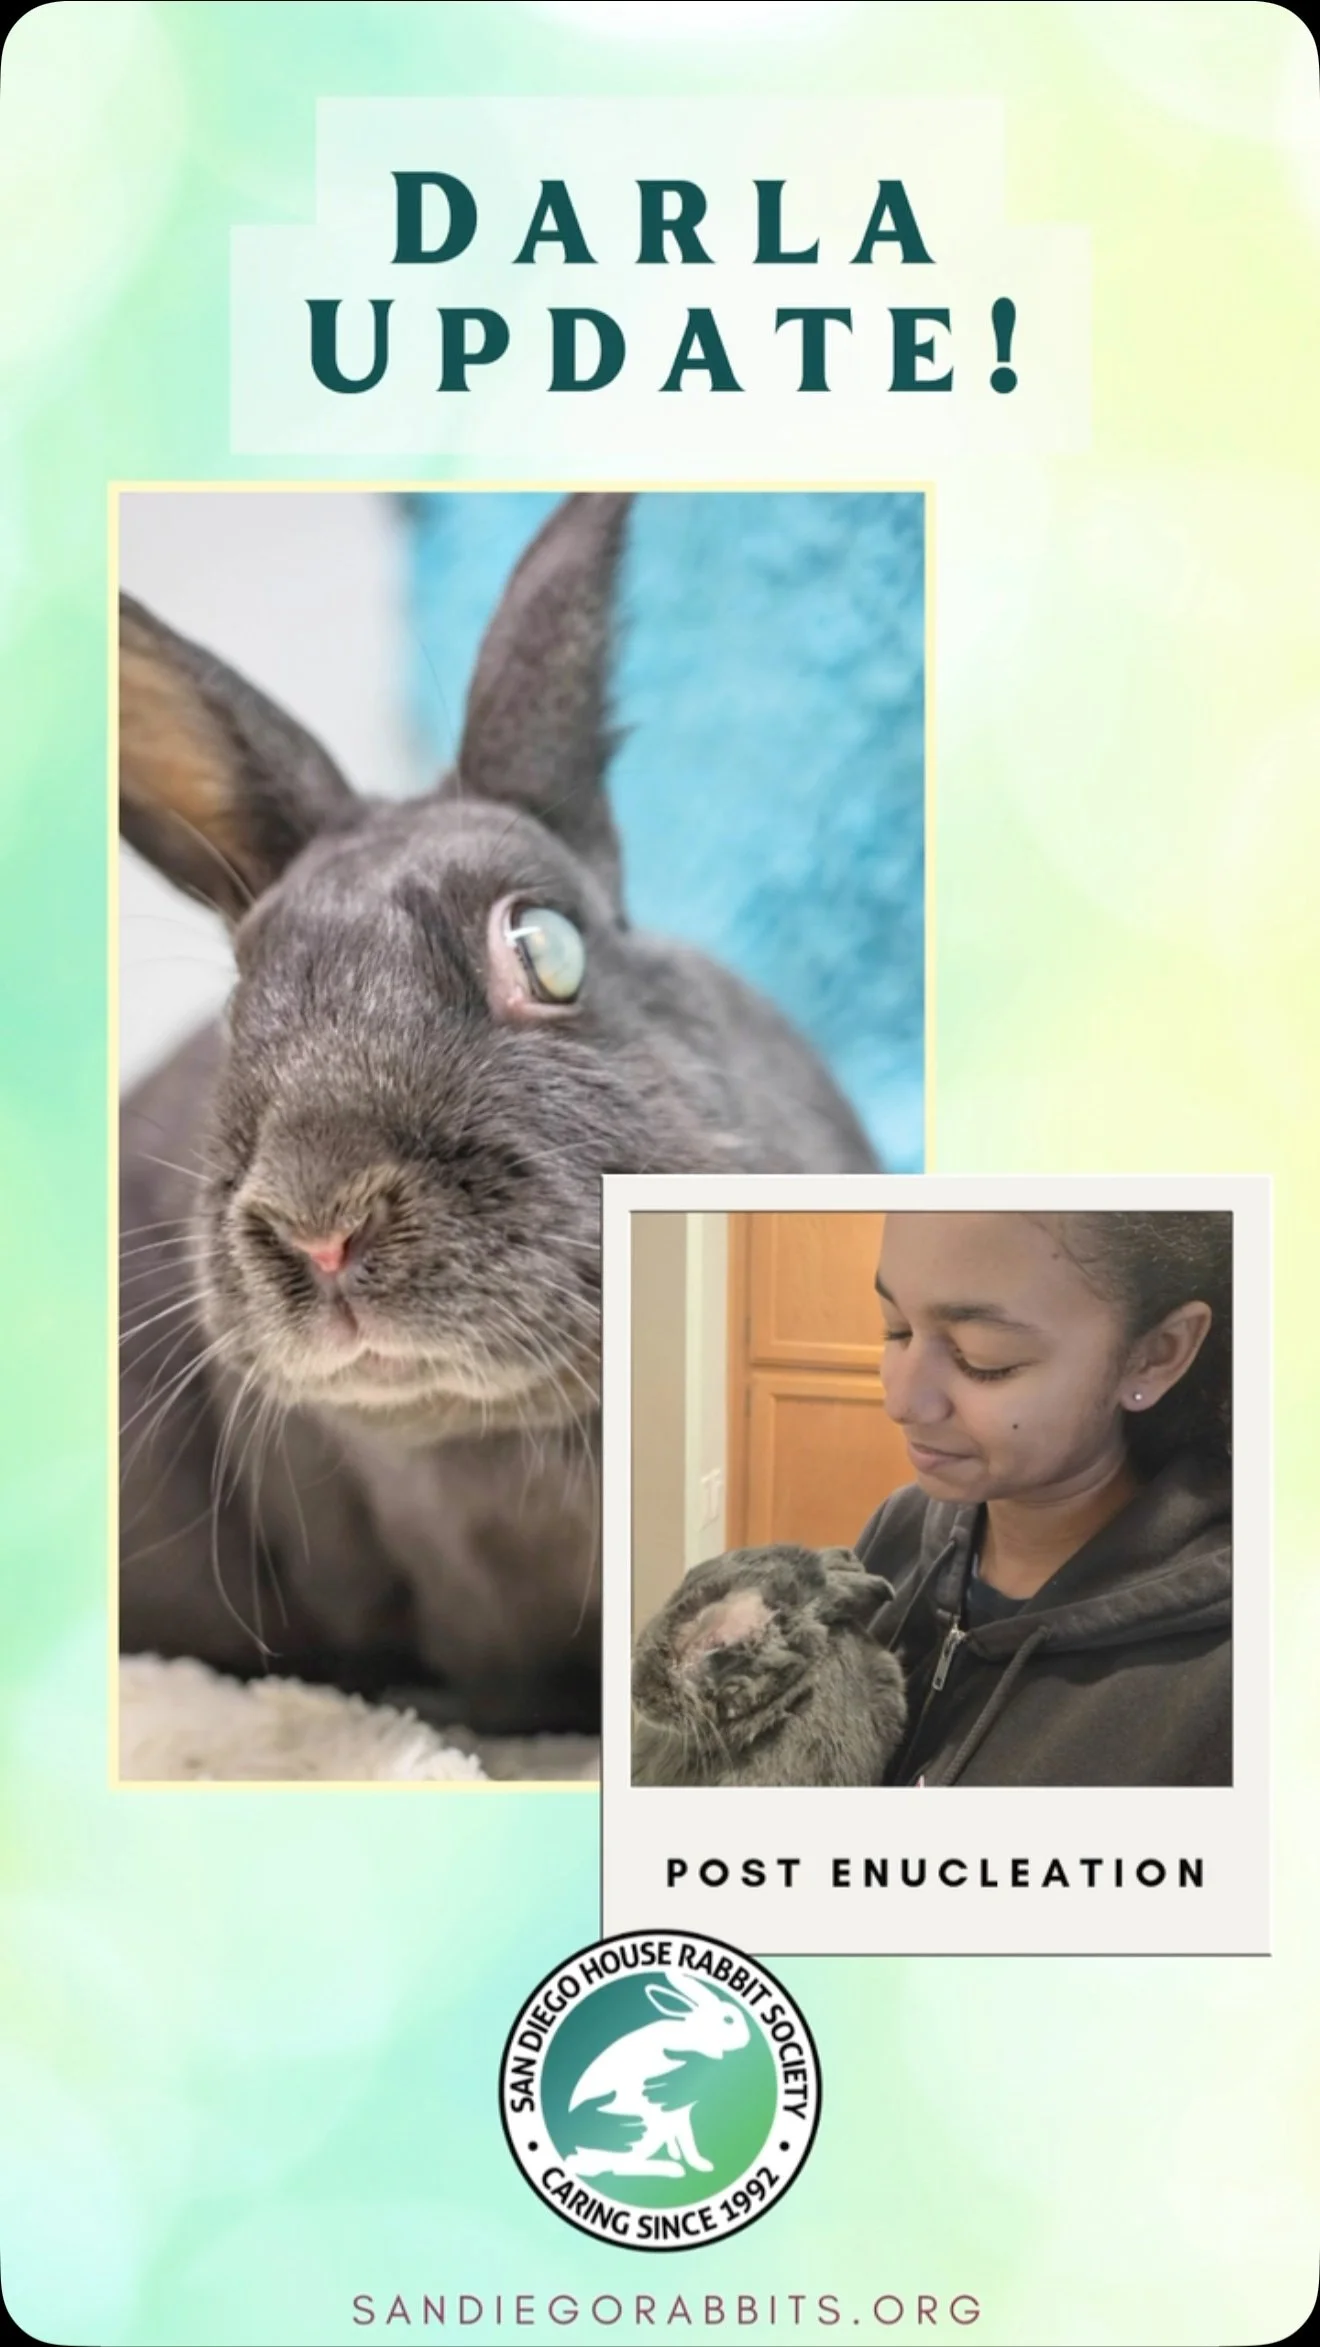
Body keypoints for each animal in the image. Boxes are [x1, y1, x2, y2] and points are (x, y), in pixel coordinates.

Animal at [564, 1968, 749, 2179]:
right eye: (728, 2020)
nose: (746, 2038)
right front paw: (700, 2165)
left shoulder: (682, 2114)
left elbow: (687, 2139)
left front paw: (699, 2164)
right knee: (624, 2166)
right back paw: (671, 2168)